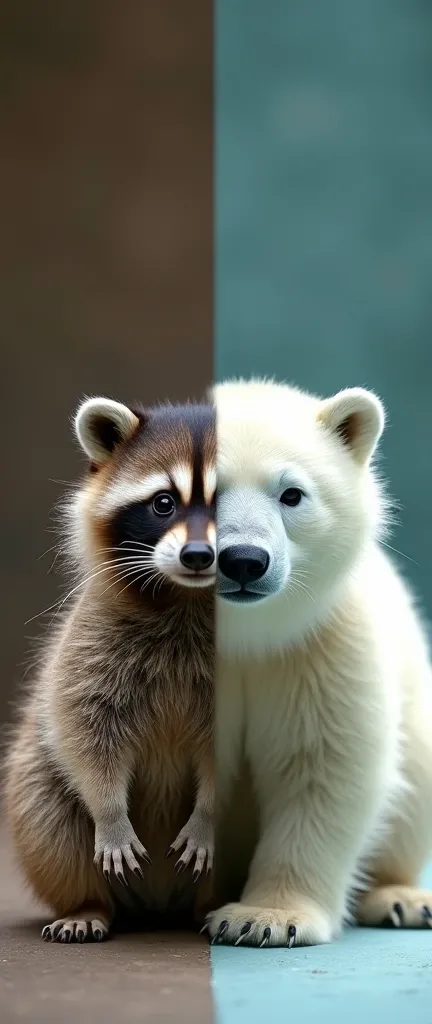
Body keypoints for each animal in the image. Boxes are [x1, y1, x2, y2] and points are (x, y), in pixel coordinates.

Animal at [3, 395, 216, 937]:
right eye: (163, 503)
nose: (199, 555)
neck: (188, 596)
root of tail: (161, 904)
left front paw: (208, 814)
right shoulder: (90, 639)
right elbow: (84, 727)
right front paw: (110, 812)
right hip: (38, 785)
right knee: (49, 812)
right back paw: (87, 905)